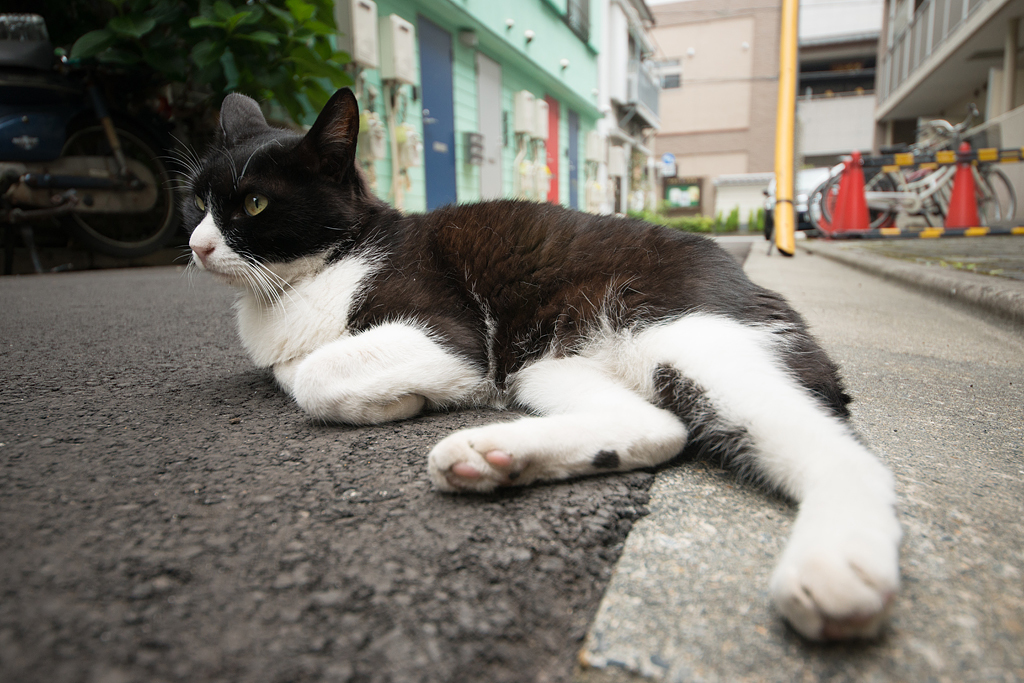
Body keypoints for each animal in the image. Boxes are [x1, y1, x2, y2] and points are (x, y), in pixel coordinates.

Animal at [188, 89, 901, 643]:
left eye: (252, 205)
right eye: (198, 201)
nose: (195, 245)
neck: (304, 280)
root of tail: (757, 285)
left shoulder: (451, 335)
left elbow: (313, 376)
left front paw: (403, 399)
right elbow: (296, 370)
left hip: (684, 334)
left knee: (843, 456)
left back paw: (834, 571)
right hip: (544, 360)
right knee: (660, 427)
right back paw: (490, 457)